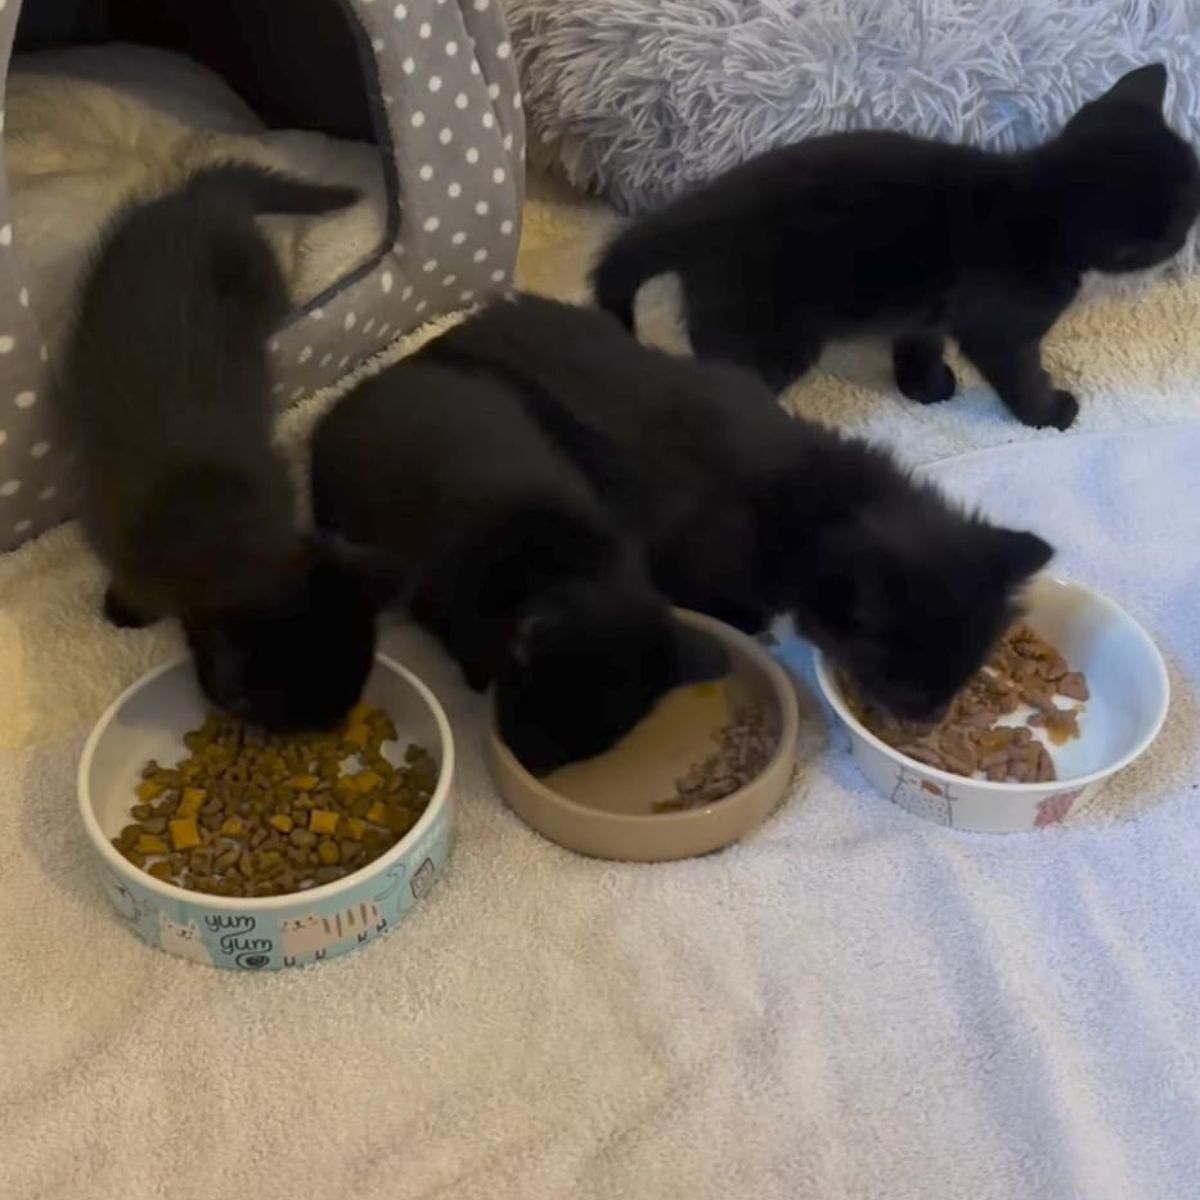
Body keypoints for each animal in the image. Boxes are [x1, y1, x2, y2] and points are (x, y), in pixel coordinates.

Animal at [304, 360, 724, 768]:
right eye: (548, 711)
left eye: (611, 737)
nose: (535, 764)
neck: (569, 567)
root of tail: (347, 400)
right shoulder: (441, 596)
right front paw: (475, 677)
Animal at [592, 64, 1200, 432]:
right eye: (1183, 222)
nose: (1191, 232)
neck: (1042, 205)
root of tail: (696, 212)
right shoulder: (1001, 327)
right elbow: (1018, 372)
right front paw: (1050, 412)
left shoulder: (926, 308)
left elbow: (919, 343)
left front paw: (924, 386)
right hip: (770, 336)